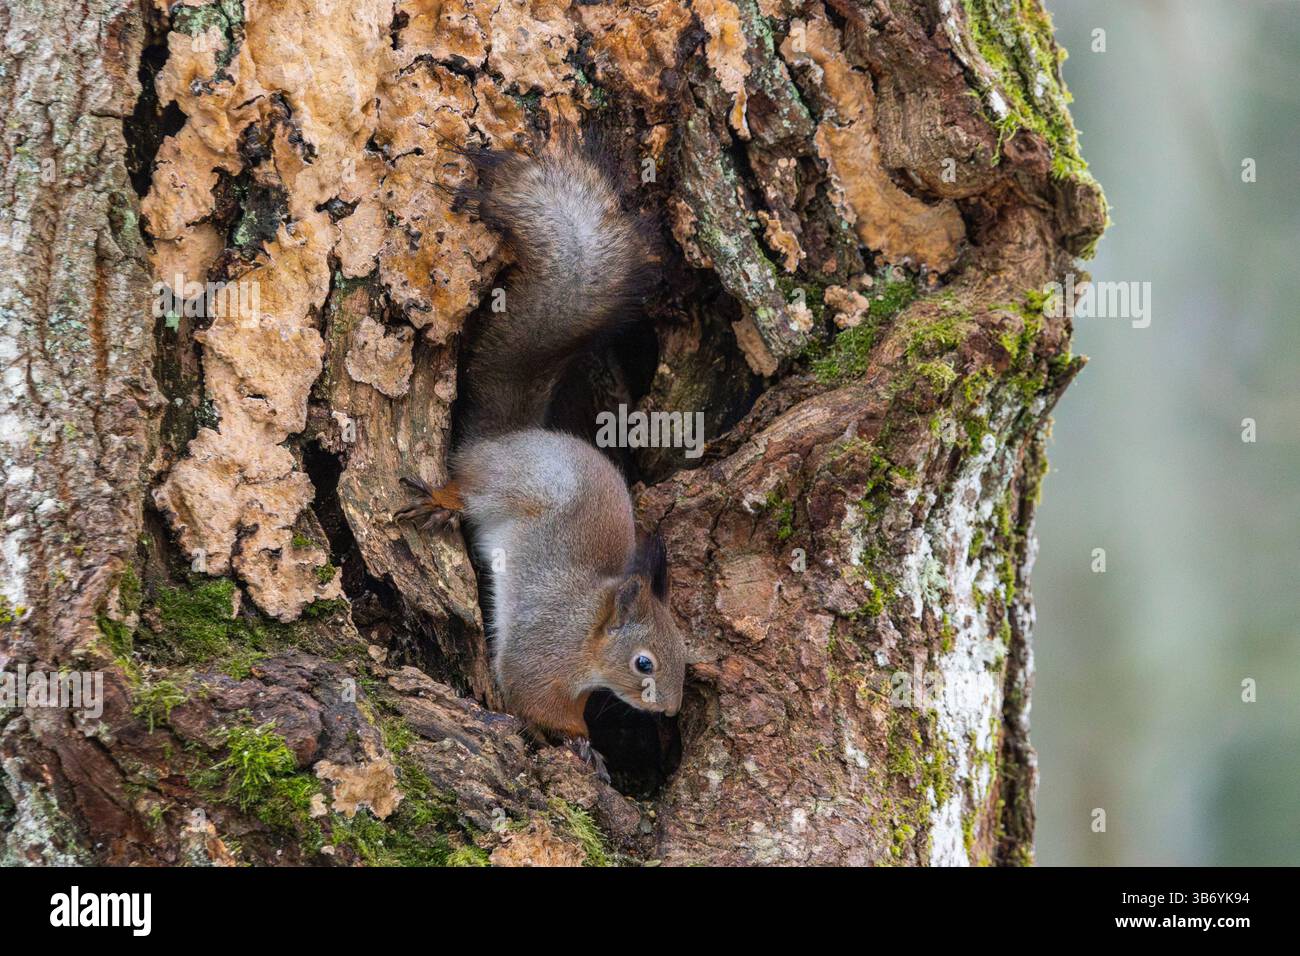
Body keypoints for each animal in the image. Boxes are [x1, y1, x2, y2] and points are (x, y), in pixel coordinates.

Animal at [396, 135, 686, 757]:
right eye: (644, 662)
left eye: (682, 652)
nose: (670, 709)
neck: (589, 633)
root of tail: (509, 438)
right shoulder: (544, 650)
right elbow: (533, 695)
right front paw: (581, 743)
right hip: (511, 485)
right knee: (469, 487)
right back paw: (441, 501)